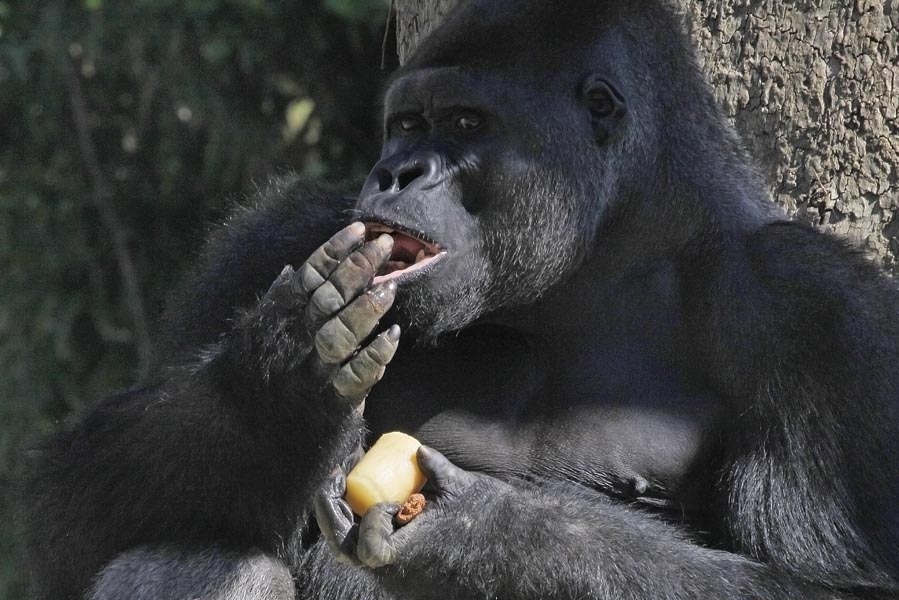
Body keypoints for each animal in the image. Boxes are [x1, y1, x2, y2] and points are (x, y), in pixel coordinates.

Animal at [19, 1, 899, 600]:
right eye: (406, 124)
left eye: (466, 123)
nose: (395, 171)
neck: (592, 262)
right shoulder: (279, 235)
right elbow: (69, 513)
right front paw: (274, 389)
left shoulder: (817, 313)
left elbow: (834, 585)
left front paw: (496, 536)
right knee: (190, 547)